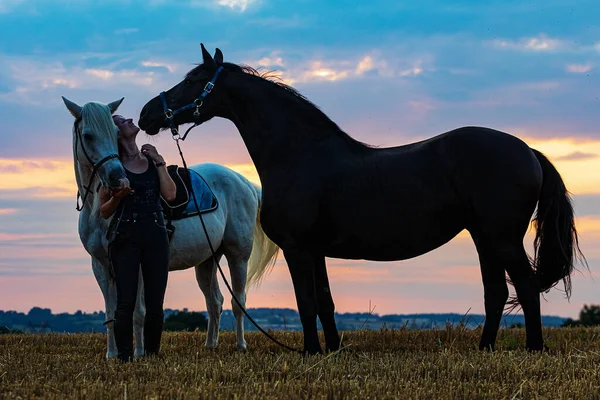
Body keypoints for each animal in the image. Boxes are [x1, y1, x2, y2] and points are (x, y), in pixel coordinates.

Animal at [62, 97, 278, 360]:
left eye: (115, 133)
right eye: (88, 135)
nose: (117, 178)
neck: (100, 211)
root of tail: (244, 182)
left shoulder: (138, 265)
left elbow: (138, 312)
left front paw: (139, 353)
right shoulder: (101, 266)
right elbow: (111, 312)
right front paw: (112, 355)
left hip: (237, 256)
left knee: (239, 301)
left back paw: (240, 345)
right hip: (207, 260)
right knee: (215, 301)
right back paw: (210, 344)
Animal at [137, 45, 584, 354]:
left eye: (194, 79)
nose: (146, 115)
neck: (299, 154)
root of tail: (528, 150)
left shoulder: (299, 248)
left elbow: (306, 302)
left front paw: (309, 351)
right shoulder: (315, 250)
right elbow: (325, 301)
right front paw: (331, 351)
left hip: (502, 238)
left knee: (525, 286)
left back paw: (533, 349)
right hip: (484, 238)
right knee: (496, 292)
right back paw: (485, 349)